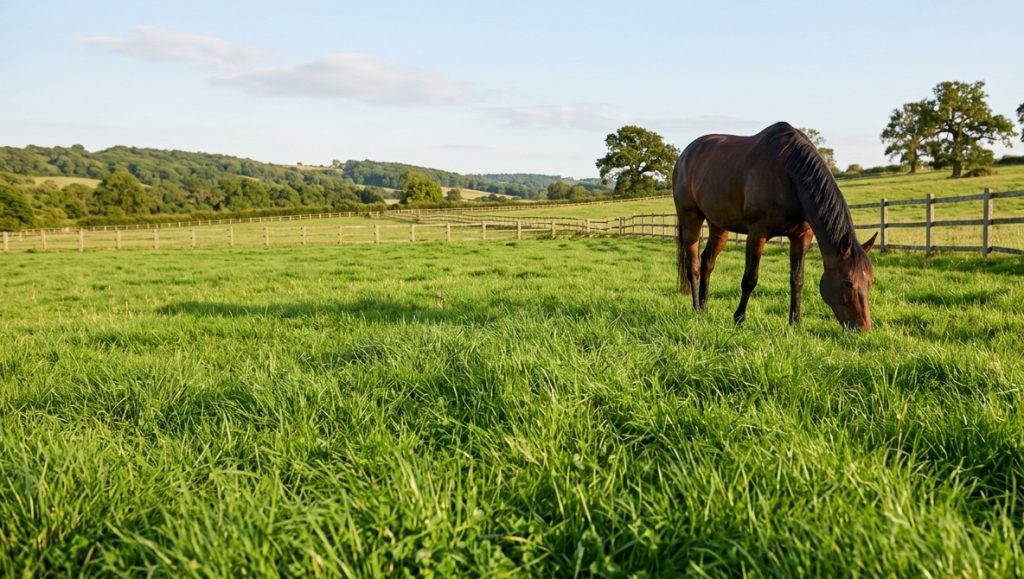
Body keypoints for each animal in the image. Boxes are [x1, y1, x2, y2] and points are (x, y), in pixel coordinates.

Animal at [672, 122, 877, 331]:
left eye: (870, 281)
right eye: (848, 282)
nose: (864, 328)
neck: (788, 174)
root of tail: (685, 155)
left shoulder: (802, 236)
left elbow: (797, 279)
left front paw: (795, 322)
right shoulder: (757, 233)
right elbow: (750, 279)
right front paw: (739, 318)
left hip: (718, 225)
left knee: (708, 261)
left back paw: (705, 307)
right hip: (690, 220)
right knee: (693, 266)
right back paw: (697, 309)